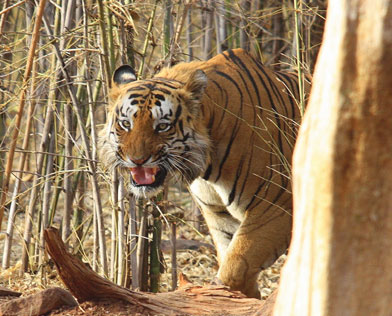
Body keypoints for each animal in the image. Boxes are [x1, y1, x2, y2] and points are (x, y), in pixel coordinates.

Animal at [101, 48, 310, 298]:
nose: (137, 160)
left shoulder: (276, 207)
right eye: (125, 124)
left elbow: (235, 267)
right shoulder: (219, 214)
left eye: (162, 126)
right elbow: (231, 257)